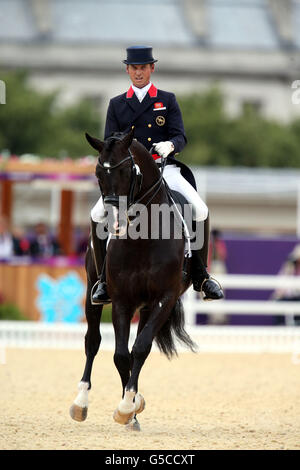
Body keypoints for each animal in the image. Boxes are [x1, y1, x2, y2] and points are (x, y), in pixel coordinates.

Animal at [70, 129, 197, 430]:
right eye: (97, 173)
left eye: (127, 170)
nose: (112, 222)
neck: (144, 237)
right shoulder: (122, 301)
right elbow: (120, 355)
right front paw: (128, 407)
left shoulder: (163, 299)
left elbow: (139, 349)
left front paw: (130, 405)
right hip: (92, 293)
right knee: (92, 341)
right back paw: (81, 402)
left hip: (148, 305)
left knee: (138, 344)